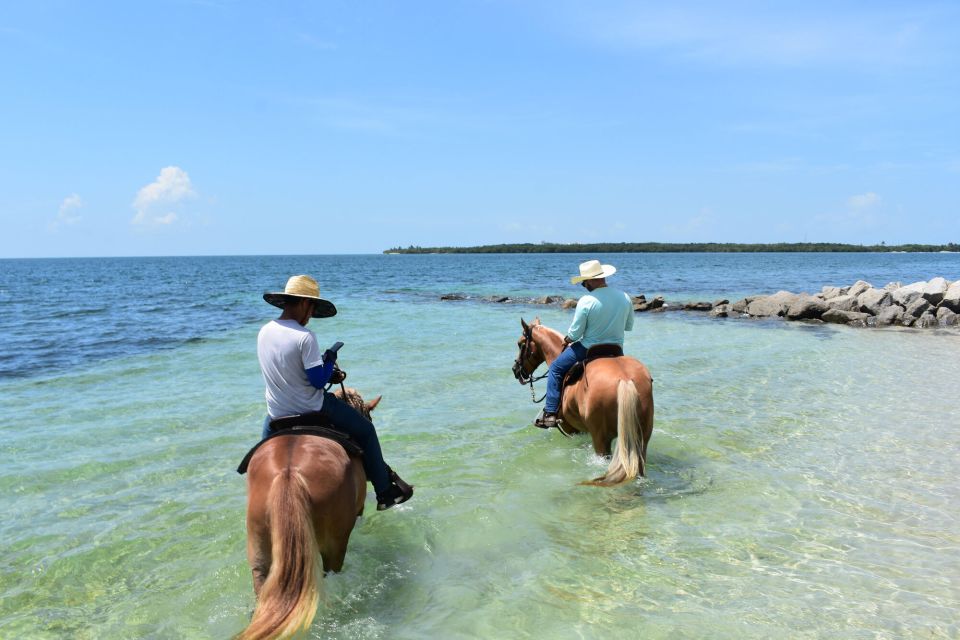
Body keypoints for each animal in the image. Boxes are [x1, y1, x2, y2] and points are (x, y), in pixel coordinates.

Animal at [512, 318, 656, 488]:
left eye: (521, 343)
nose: (515, 369)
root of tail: (625, 379)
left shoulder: (571, 428)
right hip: (642, 438)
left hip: (601, 438)